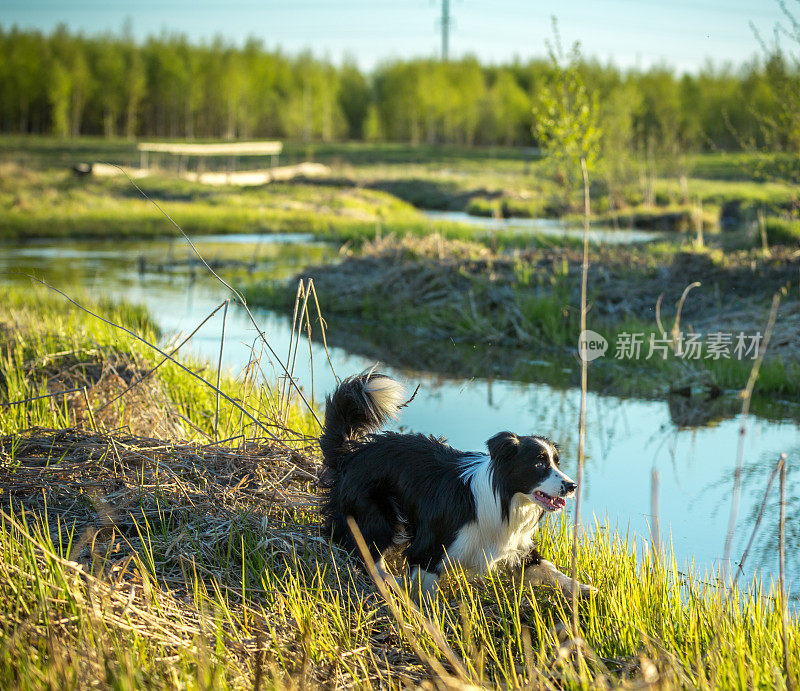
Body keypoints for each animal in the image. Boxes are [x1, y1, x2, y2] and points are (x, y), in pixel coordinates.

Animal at [318, 374, 592, 600]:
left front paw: (583, 589)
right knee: (367, 555)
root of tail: (351, 453)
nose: (572, 485)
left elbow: (547, 568)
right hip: (379, 514)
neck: (505, 499)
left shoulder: (517, 547)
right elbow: (426, 591)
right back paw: (390, 583)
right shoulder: (429, 549)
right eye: (539, 464)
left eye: (556, 463)